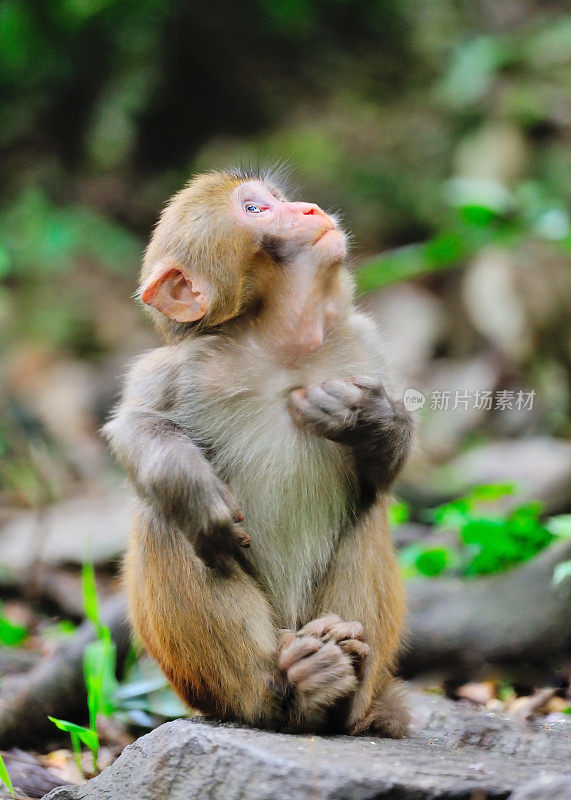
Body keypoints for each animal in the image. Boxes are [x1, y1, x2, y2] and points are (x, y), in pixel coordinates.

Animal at [105, 169, 414, 736]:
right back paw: (296, 689)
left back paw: (342, 683)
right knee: (170, 520)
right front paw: (192, 485)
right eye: (255, 209)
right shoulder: (183, 365)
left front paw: (368, 419)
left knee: (369, 509)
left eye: (278, 198)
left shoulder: (364, 345)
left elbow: (384, 473)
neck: (282, 345)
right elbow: (133, 427)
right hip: (210, 683)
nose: (309, 209)